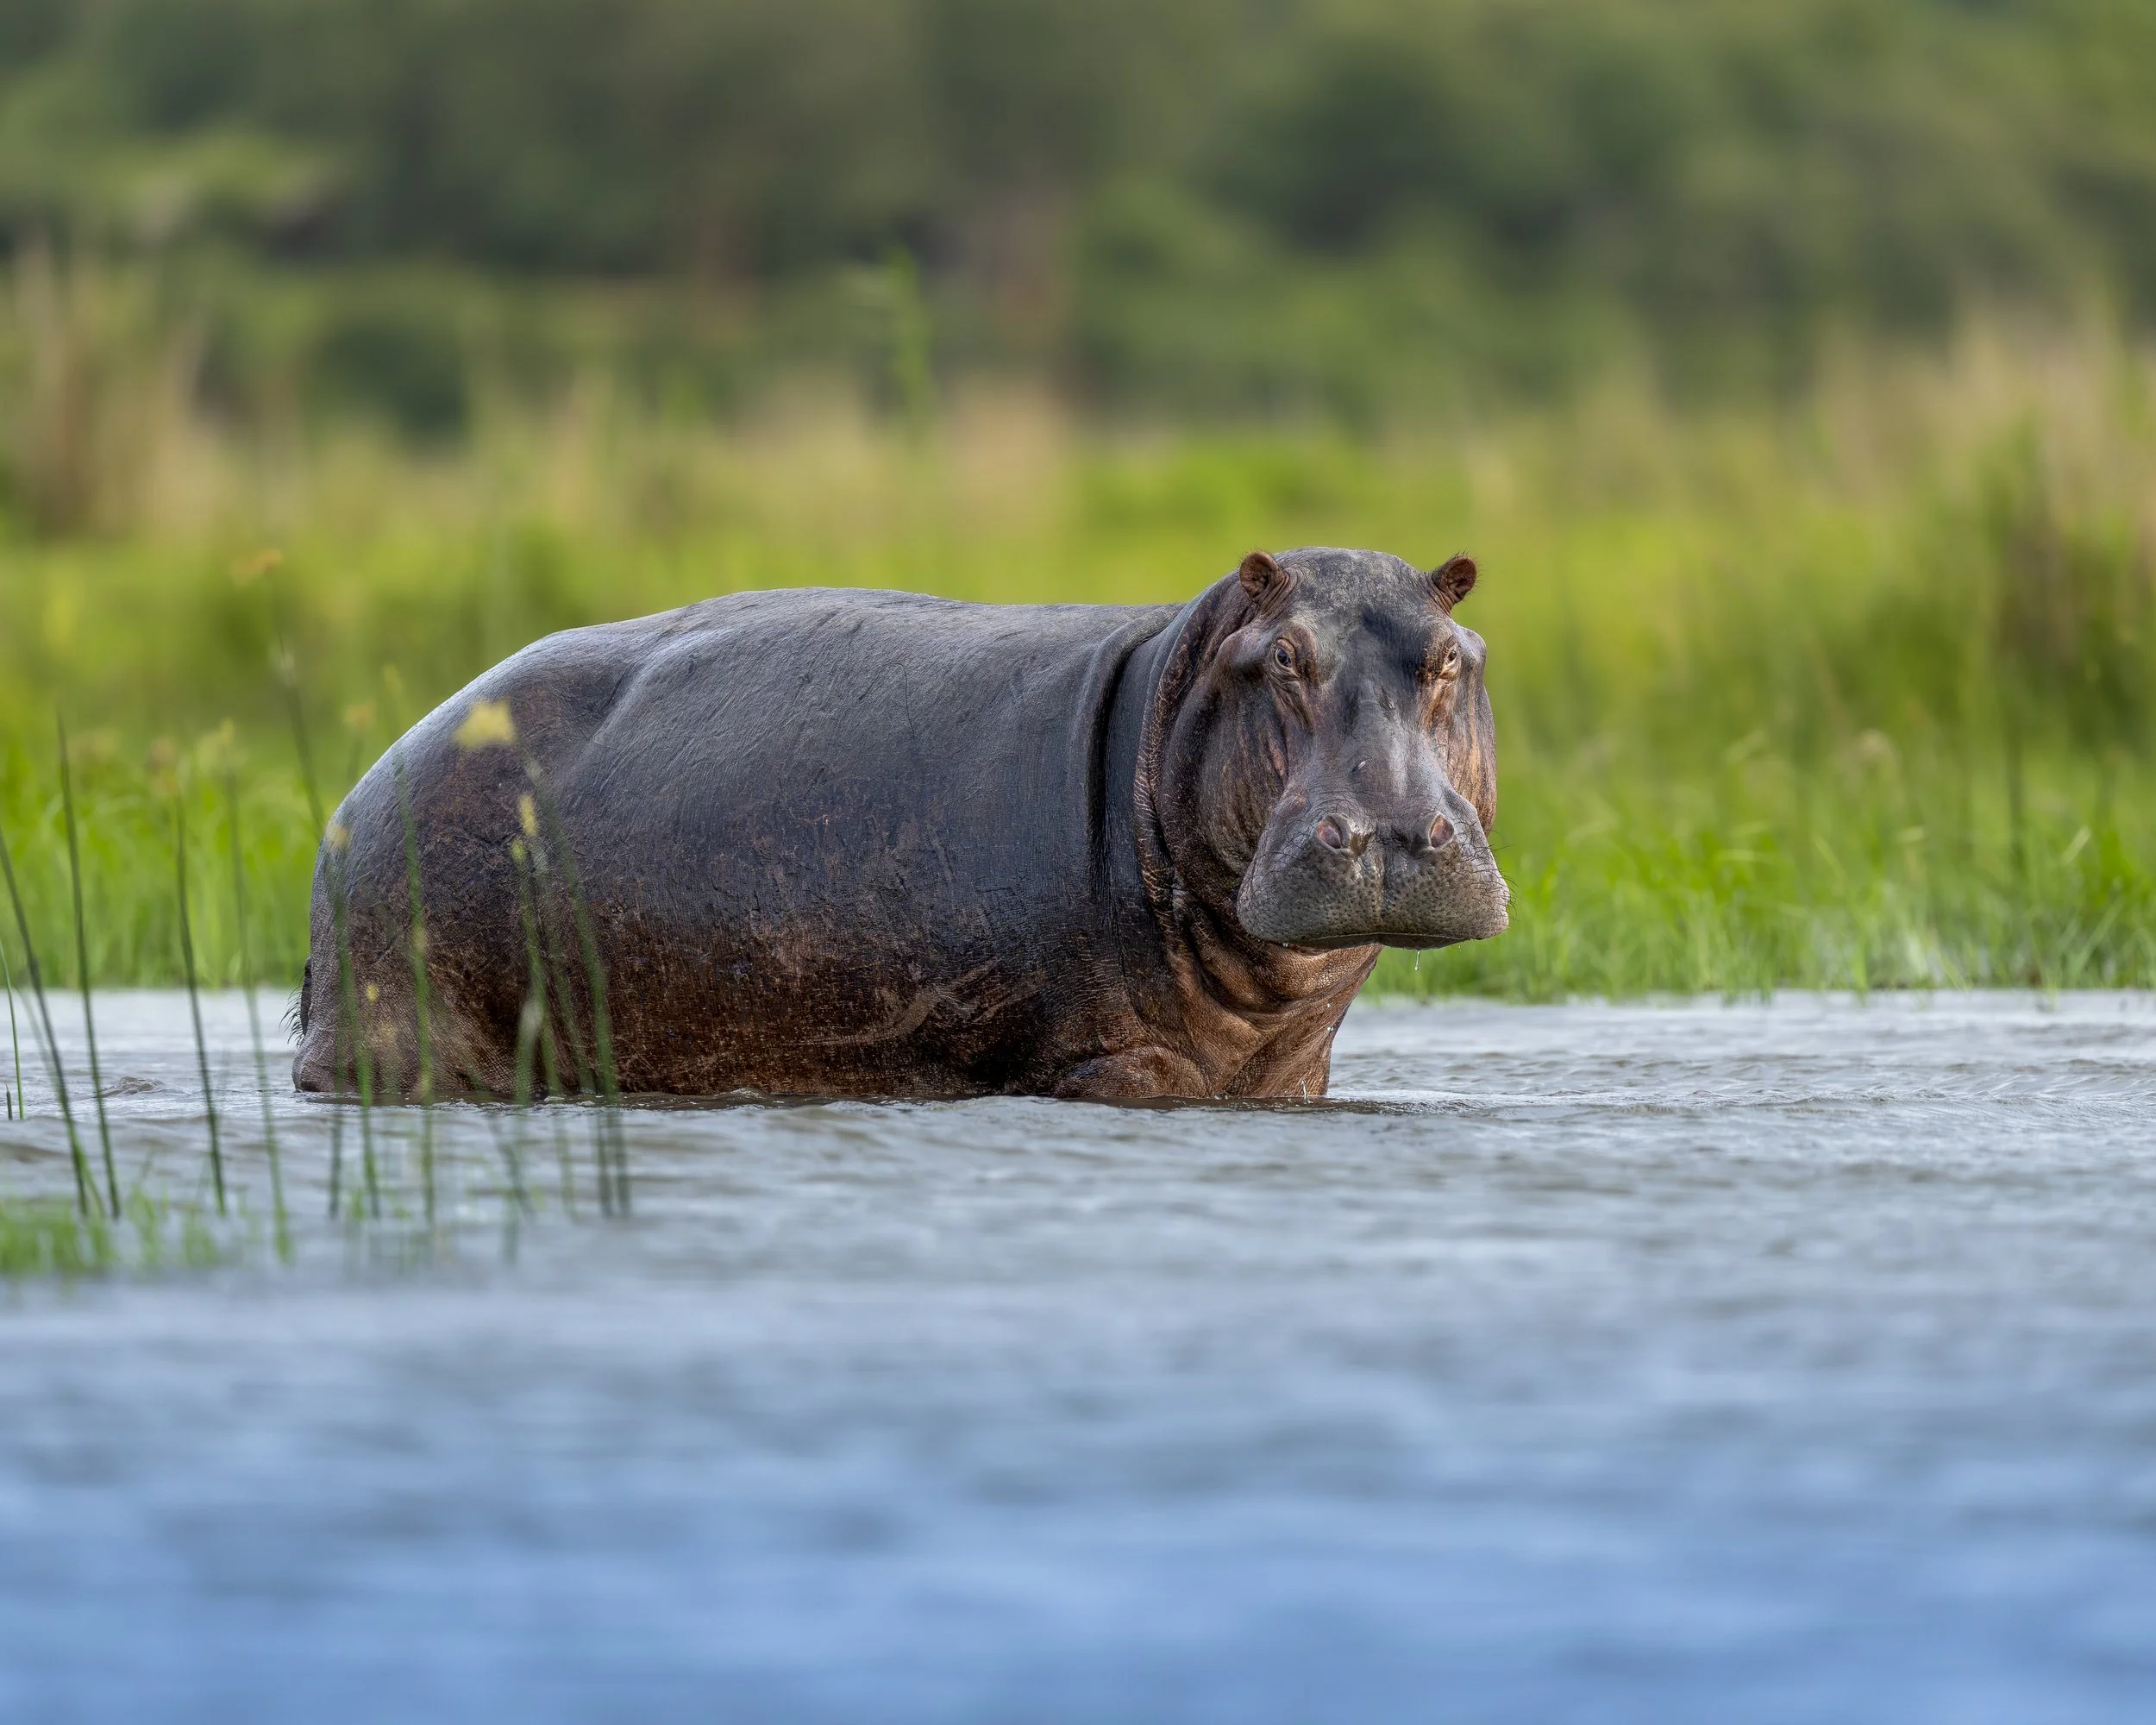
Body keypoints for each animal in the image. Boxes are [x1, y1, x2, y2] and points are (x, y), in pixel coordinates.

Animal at [293, 546, 1506, 1102]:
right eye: (1283, 658)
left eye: (1455, 656)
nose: (1390, 834)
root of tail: (364, 784)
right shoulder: (1113, 1061)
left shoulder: (1287, 1075)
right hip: (393, 1010)